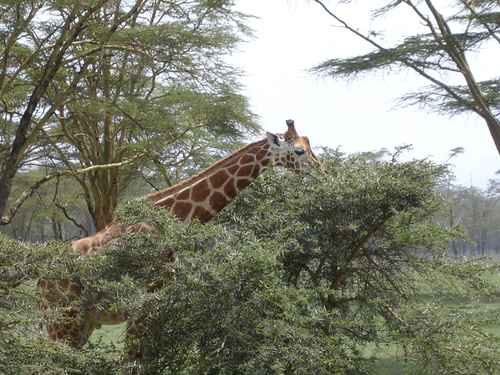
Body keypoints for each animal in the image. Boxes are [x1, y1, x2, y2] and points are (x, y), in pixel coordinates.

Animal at [36, 120, 328, 350]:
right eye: (299, 150)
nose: (324, 172)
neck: (169, 221)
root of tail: (39, 282)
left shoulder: (160, 309)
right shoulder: (141, 309)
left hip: (82, 324)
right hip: (63, 325)